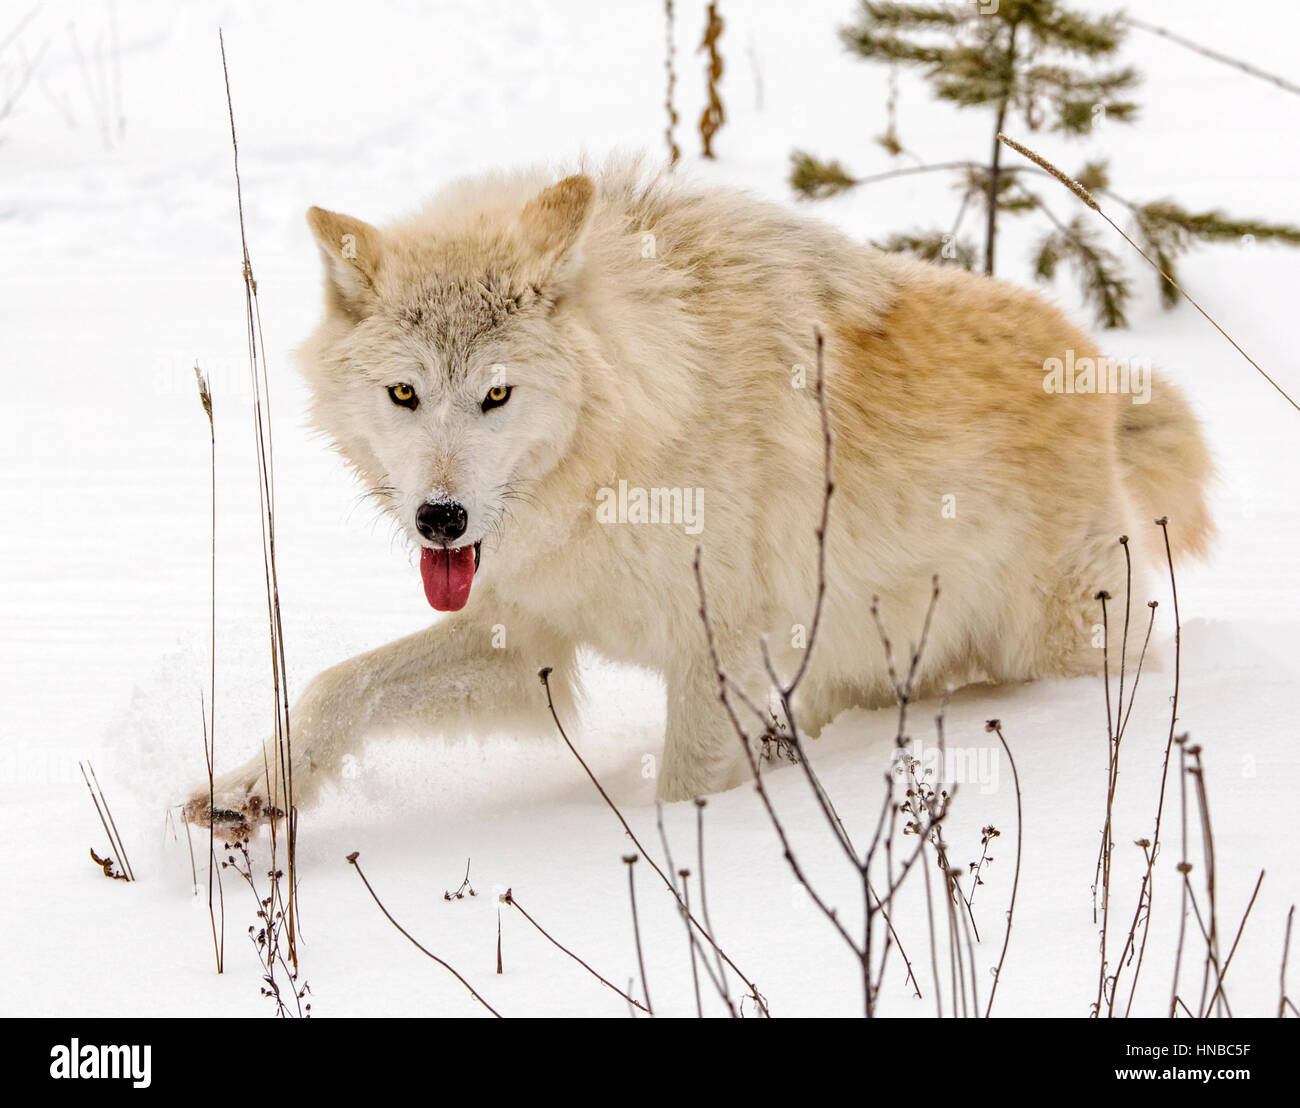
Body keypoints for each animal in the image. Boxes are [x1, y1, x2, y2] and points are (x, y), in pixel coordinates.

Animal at [185, 158, 1213, 822]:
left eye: (496, 395)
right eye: (405, 394)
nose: (441, 520)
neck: (625, 448)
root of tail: (1099, 373)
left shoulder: (713, 659)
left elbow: (683, 794)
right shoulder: (523, 637)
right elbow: (335, 685)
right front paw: (251, 791)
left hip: (1050, 644)